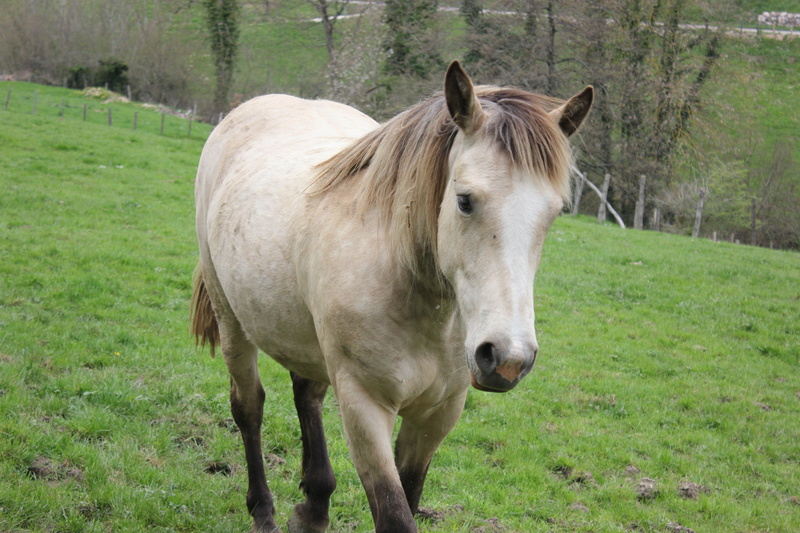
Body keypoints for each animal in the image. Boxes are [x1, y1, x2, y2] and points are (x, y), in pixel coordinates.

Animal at [192, 60, 592, 528]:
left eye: (555, 213)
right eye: (465, 200)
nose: (508, 359)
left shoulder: (437, 415)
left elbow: (411, 494)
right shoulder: (364, 407)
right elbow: (395, 514)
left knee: (306, 395)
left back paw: (315, 504)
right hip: (230, 319)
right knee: (249, 406)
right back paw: (263, 511)